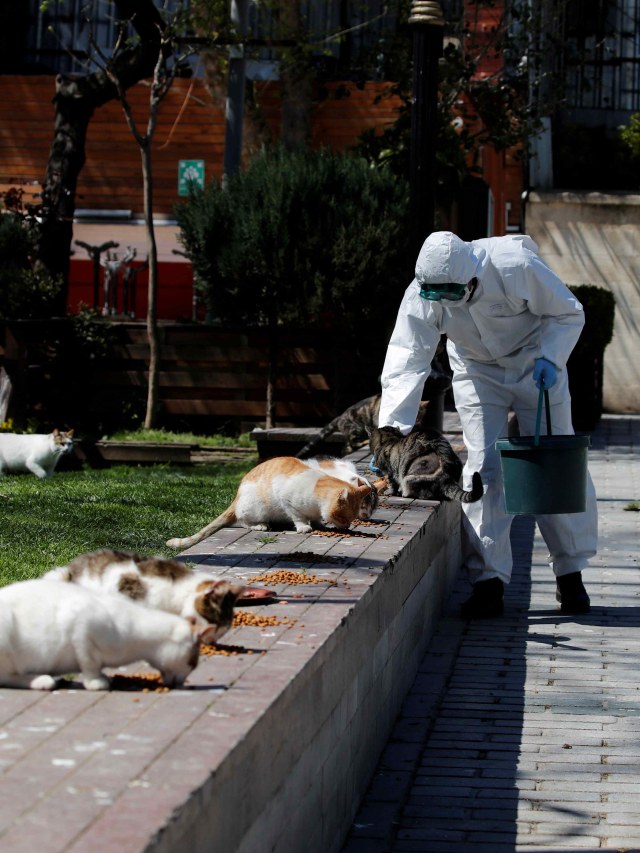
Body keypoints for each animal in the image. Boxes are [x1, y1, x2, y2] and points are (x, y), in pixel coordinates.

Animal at [0, 576, 216, 688]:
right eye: (192, 663)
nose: (182, 682)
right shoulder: (81, 630)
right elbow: (90, 663)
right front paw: (97, 682)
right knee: (6, 677)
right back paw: (41, 680)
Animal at [168, 456, 382, 548]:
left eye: (351, 519)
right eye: (345, 518)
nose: (346, 527)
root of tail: (236, 497)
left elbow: (316, 519)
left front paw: (319, 524)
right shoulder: (287, 501)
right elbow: (298, 517)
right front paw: (304, 527)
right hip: (257, 508)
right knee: (242, 520)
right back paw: (260, 525)